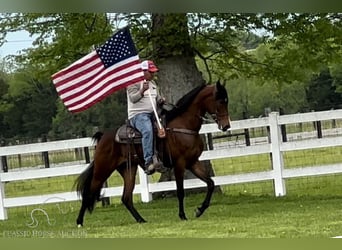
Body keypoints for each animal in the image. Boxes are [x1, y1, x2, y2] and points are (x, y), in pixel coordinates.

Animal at [75, 80, 230, 227]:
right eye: (220, 101)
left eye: (226, 100)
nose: (226, 126)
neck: (183, 126)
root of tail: (103, 136)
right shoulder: (179, 164)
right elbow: (180, 191)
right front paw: (182, 215)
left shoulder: (193, 162)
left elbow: (210, 183)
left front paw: (199, 210)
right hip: (103, 170)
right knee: (89, 193)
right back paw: (79, 222)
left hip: (128, 169)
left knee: (126, 198)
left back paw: (141, 220)